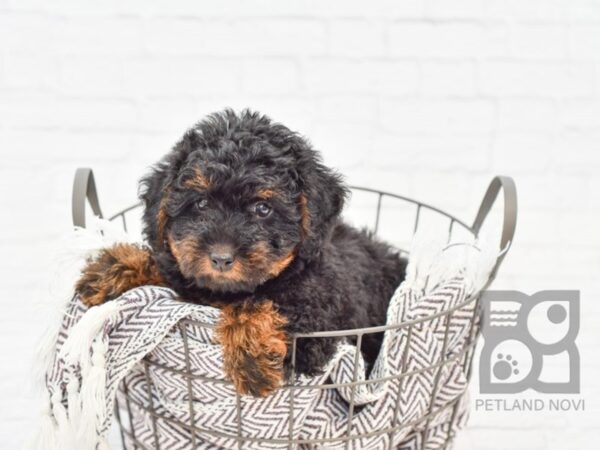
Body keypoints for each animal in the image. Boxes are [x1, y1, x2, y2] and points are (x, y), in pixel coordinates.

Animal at [77, 110, 406, 398]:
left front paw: (251, 357)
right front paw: (113, 269)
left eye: (263, 208)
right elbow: (174, 272)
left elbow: (256, 302)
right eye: (201, 204)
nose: (221, 257)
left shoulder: (316, 322)